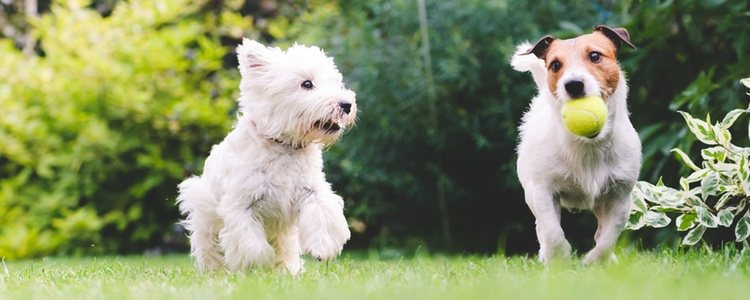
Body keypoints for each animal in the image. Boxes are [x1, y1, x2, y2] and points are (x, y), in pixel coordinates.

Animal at [181, 39, 360, 274]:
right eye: (306, 84)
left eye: (335, 82)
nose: (346, 105)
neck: (284, 146)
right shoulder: (241, 204)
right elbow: (251, 245)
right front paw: (256, 267)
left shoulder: (311, 189)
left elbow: (322, 212)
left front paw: (322, 248)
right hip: (205, 213)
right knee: (209, 246)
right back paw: (215, 270)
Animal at [516, 25, 644, 264]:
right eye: (555, 65)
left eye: (595, 55)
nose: (573, 84)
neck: (588, 144)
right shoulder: (543, 191)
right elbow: (552, 231)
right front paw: (559, 257)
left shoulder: (621, 196)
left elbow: (609, 236)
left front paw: (595, 260)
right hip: (531, 193)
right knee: (541, 226)